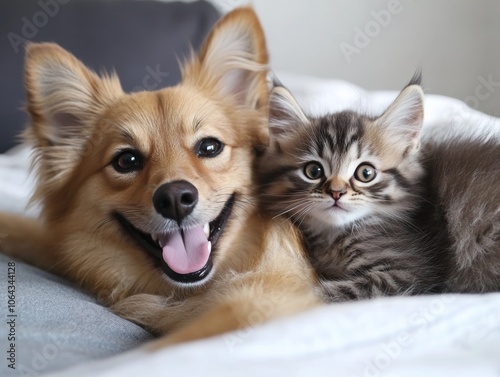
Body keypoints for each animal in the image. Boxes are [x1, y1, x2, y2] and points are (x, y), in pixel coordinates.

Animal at [258, 78, 500, 302]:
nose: (336, 192)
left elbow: (318, 292)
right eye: (313, 170)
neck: (334, 235)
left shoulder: (409, 273)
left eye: (365, 173)